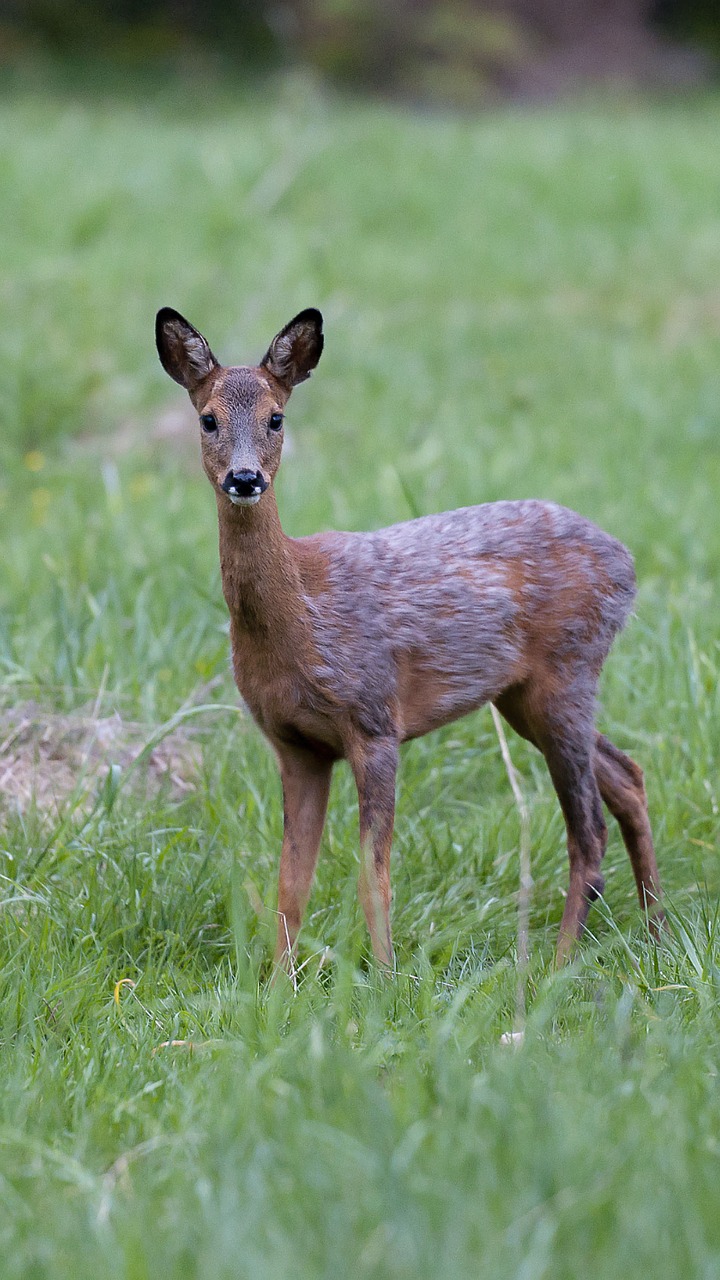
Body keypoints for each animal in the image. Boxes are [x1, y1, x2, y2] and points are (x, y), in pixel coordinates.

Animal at [156, 304, 661, 962]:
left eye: (276, 417)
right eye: (208, 418)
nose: (245, 479)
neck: (300, 623)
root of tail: (626, 562)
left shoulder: (374, 720)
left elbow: (375, 876)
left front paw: (386, 976)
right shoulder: (295, 744)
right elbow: (291, 883)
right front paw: (276, 982)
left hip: (568, 669)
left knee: (590, 831)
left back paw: (555, 966)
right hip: (525, 696)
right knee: (627, 776)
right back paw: (657, 931)